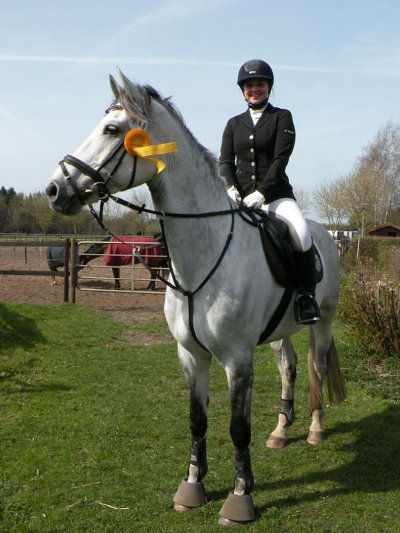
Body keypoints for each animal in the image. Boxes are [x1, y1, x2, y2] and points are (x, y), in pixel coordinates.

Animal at [45, 72, 346, 524]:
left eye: (112, 130)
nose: (54, 189)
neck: (202, 256)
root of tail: (325, 233)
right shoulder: (190, 354)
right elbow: (197, 420)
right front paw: (191, 486)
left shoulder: (237, 358)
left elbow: (237, 428)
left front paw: (240, 497)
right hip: (279, 331)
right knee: (289, 367)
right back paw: (280, 431)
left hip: (323, 320)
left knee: (317, 364)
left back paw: (314, 429)